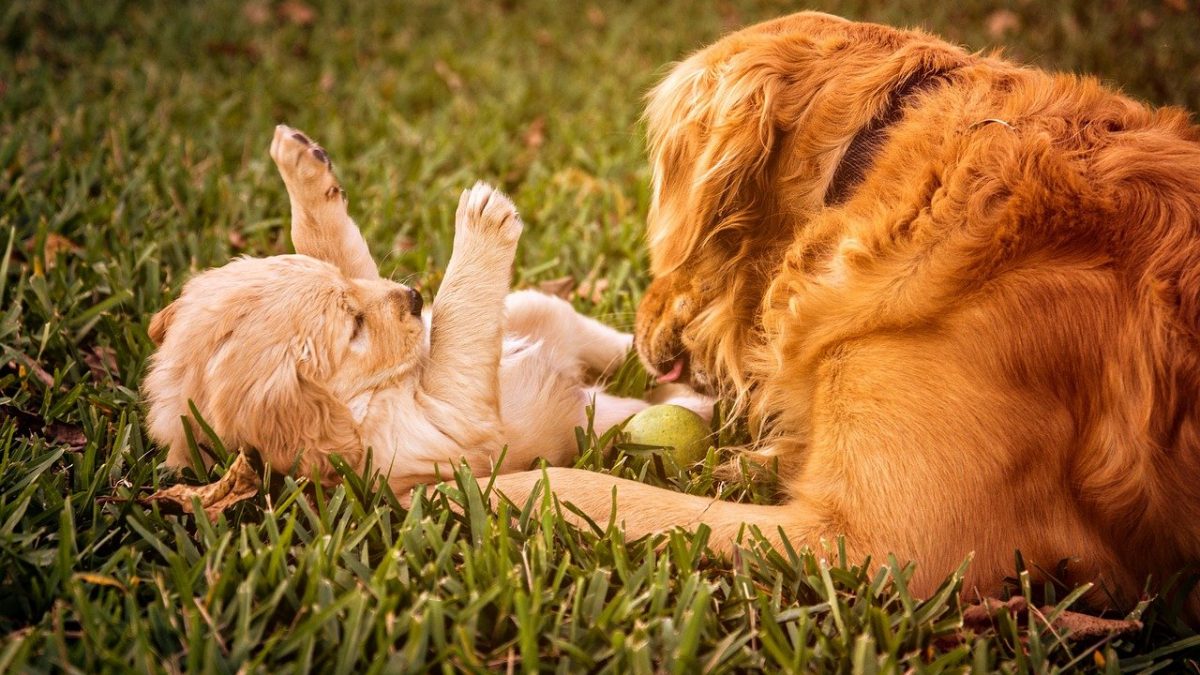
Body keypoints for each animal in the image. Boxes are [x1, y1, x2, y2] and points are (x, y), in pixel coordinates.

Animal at [141, 126, 705, 492]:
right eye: (354, 328)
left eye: (349, 297)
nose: (413, 298)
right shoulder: (446, 434)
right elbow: (454, 339)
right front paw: (480, 221)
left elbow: (334, 244)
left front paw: (301, 168)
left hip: (539, 308)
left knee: (619, 348)